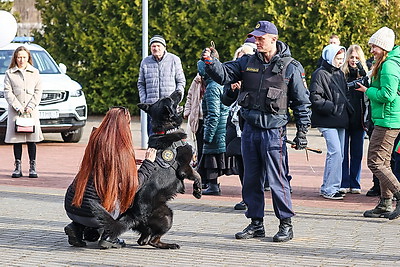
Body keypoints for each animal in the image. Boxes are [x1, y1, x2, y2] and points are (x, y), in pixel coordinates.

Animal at [92, 91, 202, 250]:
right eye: (170, 99)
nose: (180, 91)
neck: (166, 130)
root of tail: (133, 216)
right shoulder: (184, 168)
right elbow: (197, 174)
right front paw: (198, 191)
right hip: (167, 215)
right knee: (152, 240)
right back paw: (170, 245)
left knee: (143, 240)